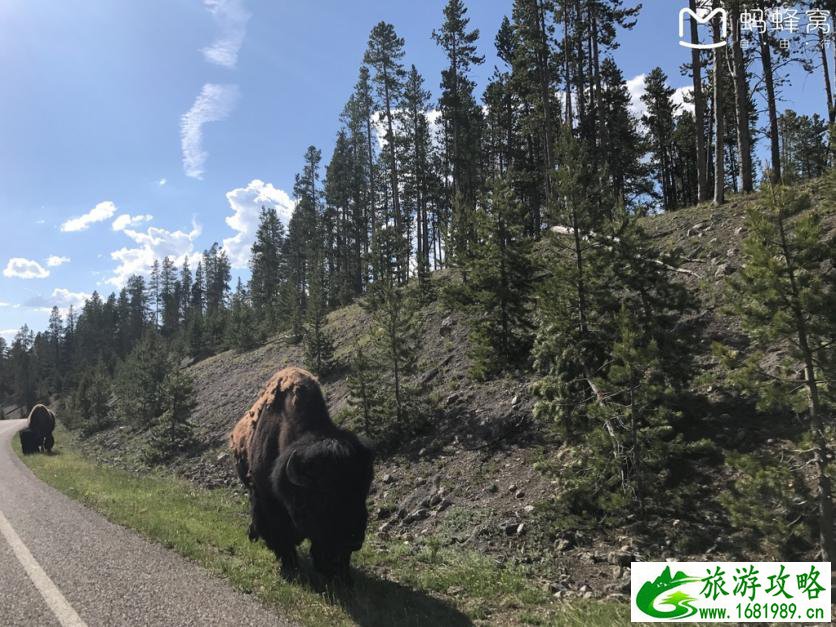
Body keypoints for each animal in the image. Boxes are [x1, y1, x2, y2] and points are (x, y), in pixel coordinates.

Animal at [229, 368, 372, 584]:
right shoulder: (265, 498)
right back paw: (253, 536)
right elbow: (279, 533)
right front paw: (290, 566)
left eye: (363, 494)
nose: (354, 539)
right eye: (323, 498)